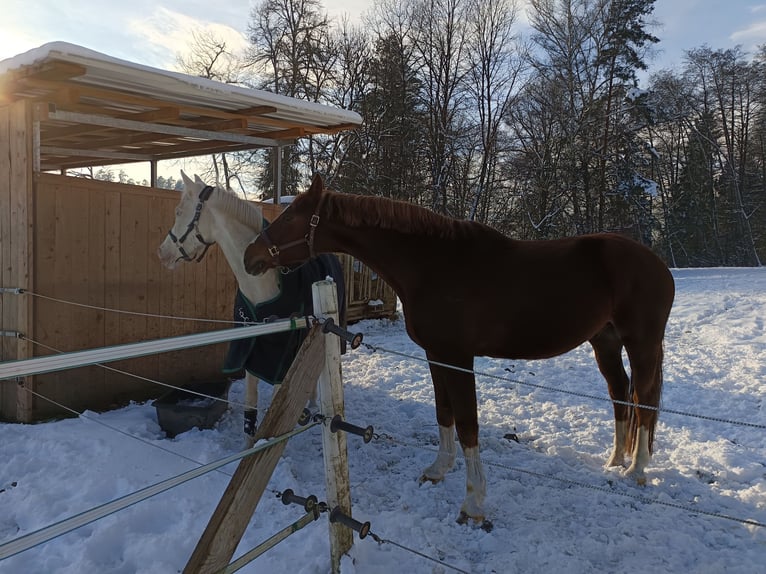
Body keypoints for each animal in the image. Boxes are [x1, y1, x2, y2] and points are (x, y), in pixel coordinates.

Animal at [157, 172, 345, 447]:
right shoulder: (251, 352)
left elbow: (276, 408)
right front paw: (250, 447)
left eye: (179, 212)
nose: (162, 253)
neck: (261, 285)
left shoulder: (279, 357)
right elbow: (250, 410)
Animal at [243, 174, 675, 528]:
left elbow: (468, 423)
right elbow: (443, 411)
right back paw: (615, 460)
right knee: (619, 393)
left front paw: (473, 504)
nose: (250, 256)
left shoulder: (458, 358)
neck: (432, 267)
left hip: (641, 342)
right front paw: (438, 469)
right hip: (605, 341)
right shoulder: (436, 354)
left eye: (290, 218)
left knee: (644, 399)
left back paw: (637, 470)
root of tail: (657, 263)